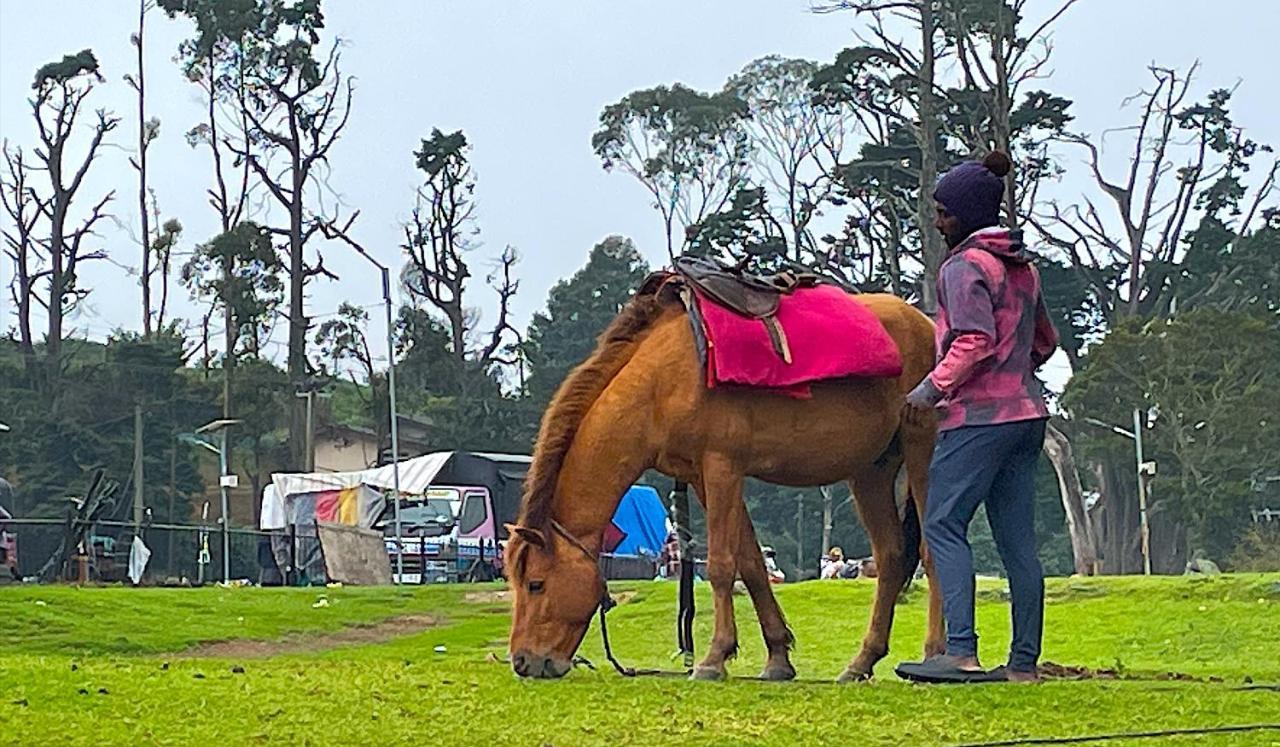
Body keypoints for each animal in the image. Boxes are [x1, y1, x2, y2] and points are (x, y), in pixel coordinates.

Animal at [506, 287, 942, 680]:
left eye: (535, 584)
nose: (523, 662)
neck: (660, 381)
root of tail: (925, 325)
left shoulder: (721, 467)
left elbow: (720, 565)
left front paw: (714, 658)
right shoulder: (702, 477)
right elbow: (750, 563)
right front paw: (777, 657)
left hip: (921, 449)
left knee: (930, 547)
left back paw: (934, 653)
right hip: (870, 471)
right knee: (891, 555)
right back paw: (862, 661)